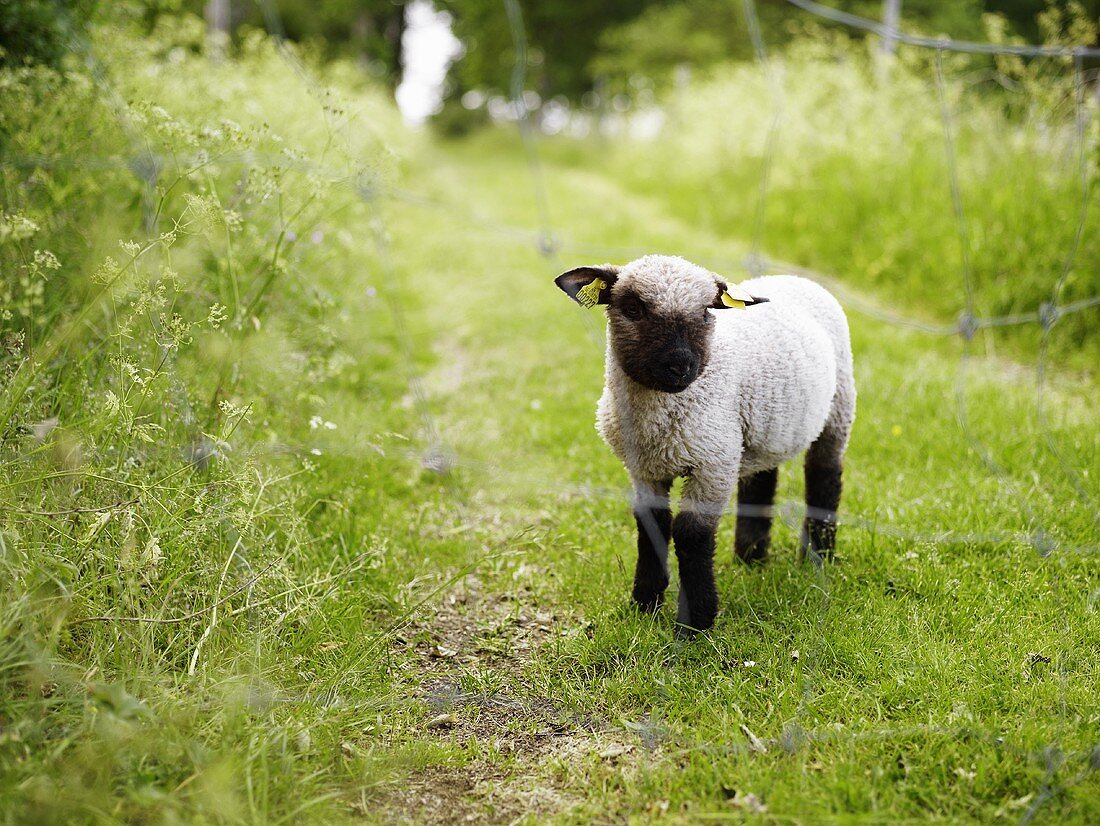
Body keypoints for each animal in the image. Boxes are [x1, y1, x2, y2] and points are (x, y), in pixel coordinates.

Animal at [554, 255, 853, 637]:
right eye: (633, 309)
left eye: (706, 311)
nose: (680, 365)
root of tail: (795, 278)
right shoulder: (645, 467)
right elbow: (652, 522)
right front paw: (645, 604)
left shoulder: (714, 463)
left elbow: (691, 534)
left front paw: (695, 623)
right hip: (761, 430)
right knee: (762, 478)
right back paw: (751, 558)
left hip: (838, 407)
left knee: (825, 475)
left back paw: (819, 557)